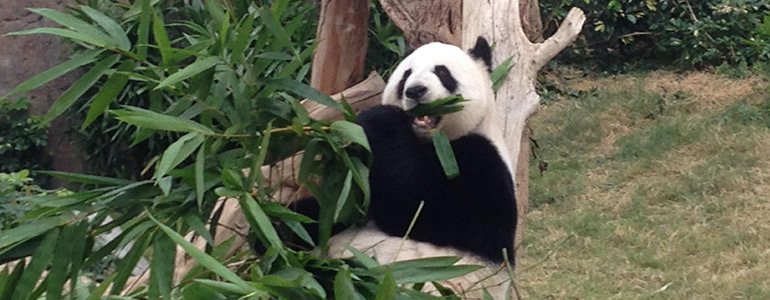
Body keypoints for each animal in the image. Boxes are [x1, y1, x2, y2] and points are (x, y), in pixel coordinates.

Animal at [318, 37, 516, 298]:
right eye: (406, 75)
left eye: (442, 72)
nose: (415, 90)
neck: (431, 140)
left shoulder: (483, 163)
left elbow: (421, 207)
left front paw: (379, 119)